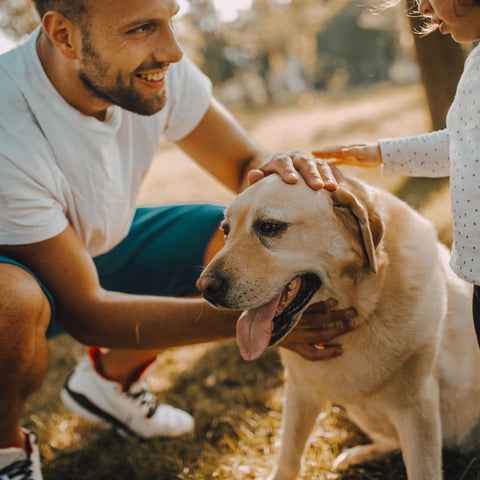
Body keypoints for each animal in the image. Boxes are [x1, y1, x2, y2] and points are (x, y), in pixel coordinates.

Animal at [195, 171, 480, 478]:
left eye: (269, 227)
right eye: (226, 231)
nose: (204, 288)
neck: (364, 308)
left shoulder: (417, 409)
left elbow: (421, 469)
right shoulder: (300, 390)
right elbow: (289, 456)